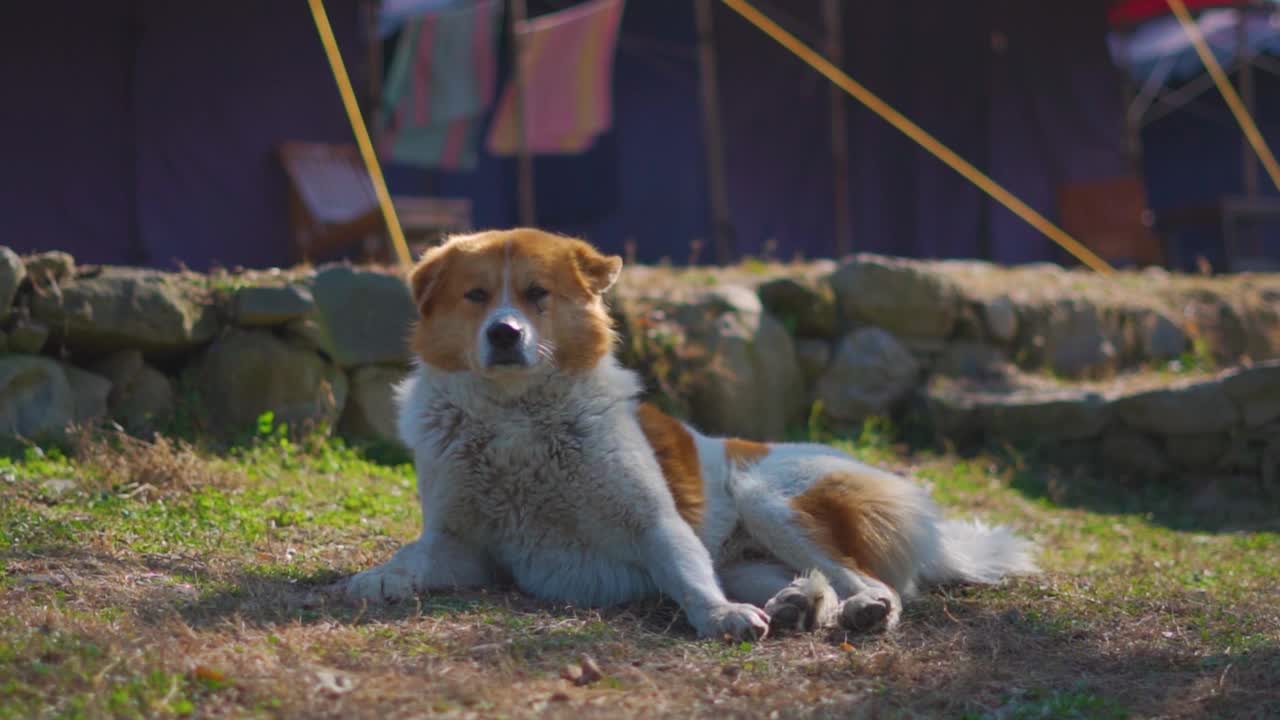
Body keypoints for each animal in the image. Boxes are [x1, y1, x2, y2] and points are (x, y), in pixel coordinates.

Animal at [343, 226, 1039, 635]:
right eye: (477, 296)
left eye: (537, 294)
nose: (505, 333)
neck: (517, 419)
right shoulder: (467, 545)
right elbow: (414, 553)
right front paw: (382, 578)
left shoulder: (656, 523)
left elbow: (686, 575)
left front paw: (719, 616)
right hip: (753, 556)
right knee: (810, 583)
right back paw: (798, 607)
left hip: (769, 497)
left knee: (874, 582)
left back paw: (861, 611)